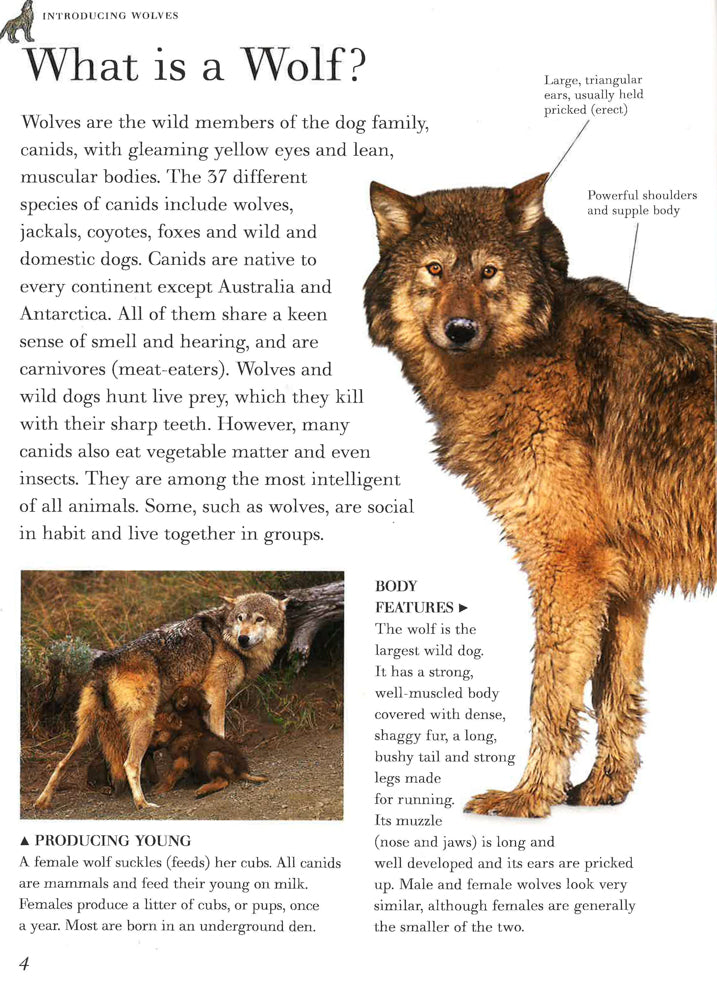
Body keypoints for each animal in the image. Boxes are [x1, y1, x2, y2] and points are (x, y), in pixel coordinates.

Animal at [34, 592, 288, 810]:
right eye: (240, 618)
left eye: (259, 619)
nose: (243, 638)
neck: (225, 638)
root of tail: (105, 661)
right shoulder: (216, 693)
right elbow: (219, 733)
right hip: (143, 725)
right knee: (130, 764)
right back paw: (142, 803)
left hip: (86, 731)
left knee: (61, 763)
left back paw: (42, 801)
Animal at [365, 174, 715, 817]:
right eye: (435, 269)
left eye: (489, 272)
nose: (460, 330)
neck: (525, 359)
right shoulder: (622, 581)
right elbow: (613, 695)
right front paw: (604, 789)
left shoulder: (569, 564)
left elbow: (549, 693)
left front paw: (528, 796)